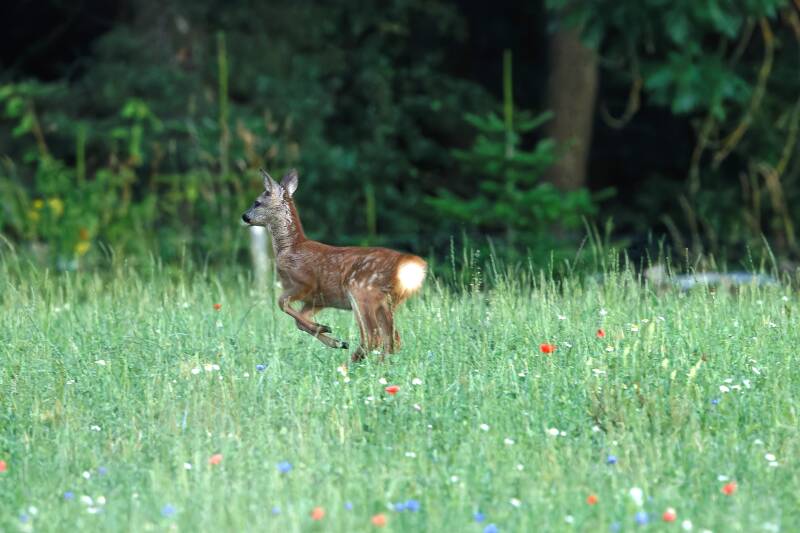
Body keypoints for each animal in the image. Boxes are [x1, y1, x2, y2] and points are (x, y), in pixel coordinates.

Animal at [241, 169, 427, 361]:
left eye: (257, 202)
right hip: (388, 301)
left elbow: (282, 303)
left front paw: (326, 329)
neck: (290, 248)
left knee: (373, 337)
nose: (244, 216)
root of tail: (410, 268)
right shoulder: (319, 299)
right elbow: (299, 321)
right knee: (392, 340)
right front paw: (335, 339)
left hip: (361, 292)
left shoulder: (306, 282)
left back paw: (350, 364)